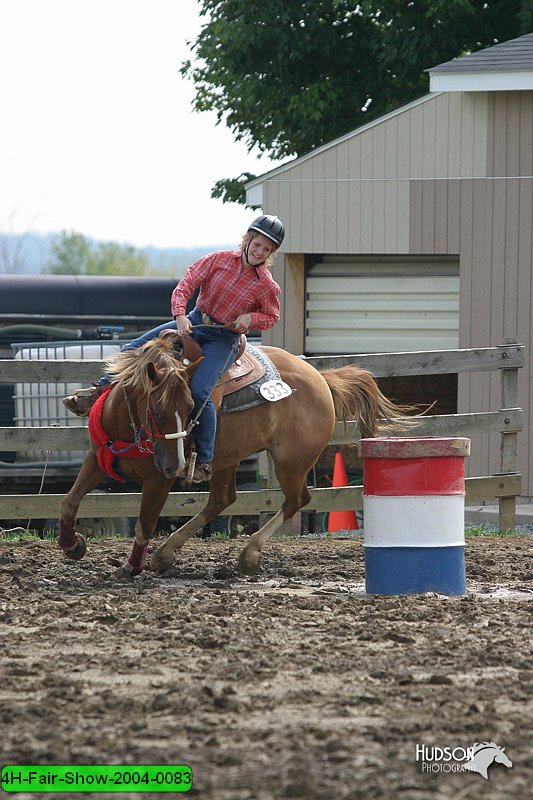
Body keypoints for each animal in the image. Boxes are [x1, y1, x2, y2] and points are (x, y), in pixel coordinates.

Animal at [58, 328, 416, 580]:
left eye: (191, 408)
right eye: (157, 411)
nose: (177, 465)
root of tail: (322, 380)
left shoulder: (158, 481)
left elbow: (145, 523)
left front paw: (129, 568)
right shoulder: (96, 459)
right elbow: (69, 502)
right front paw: (73, 545)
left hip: (291, 462)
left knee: (296, 500)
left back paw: (248, 554)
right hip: (228, 459)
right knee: (222, 500)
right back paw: (165, 554)